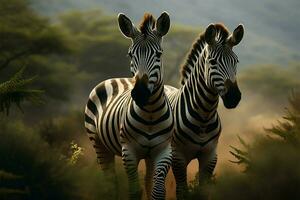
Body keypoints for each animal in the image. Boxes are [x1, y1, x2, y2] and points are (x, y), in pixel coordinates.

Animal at [84, 12, 173, 200]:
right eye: (130, 55)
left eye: (159, 54)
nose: (140, 93)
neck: (151, 113)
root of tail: (114, 78)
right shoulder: (129, 152)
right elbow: (134, 191)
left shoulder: (163, 151)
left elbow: (157, 191)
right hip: (99, 144)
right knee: (110, 183)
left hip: (148, 156)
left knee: (147, 182)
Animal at [164, 23, 244, 198]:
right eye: (212, 62)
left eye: (236, 61)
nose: (234, 97)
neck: (203, 116)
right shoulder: (178, 157)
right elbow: (182, 191)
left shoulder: (210, 156)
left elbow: (203, 190)